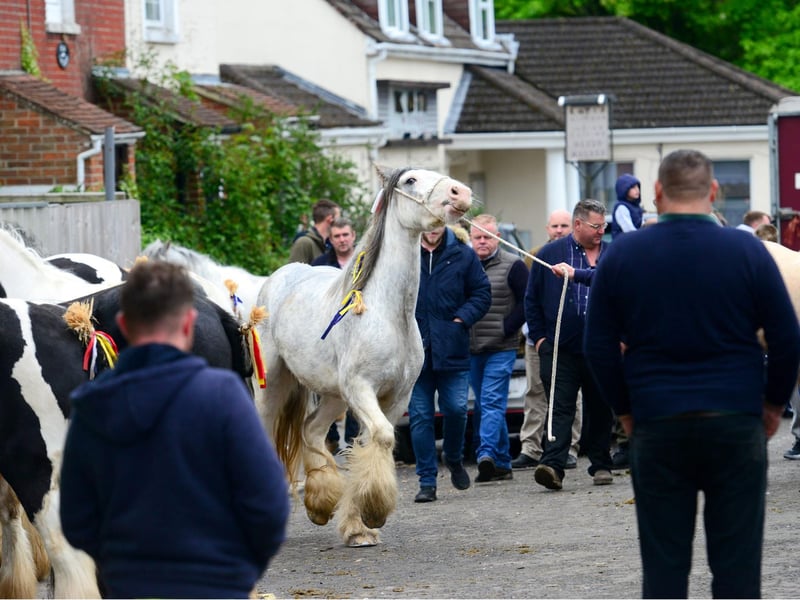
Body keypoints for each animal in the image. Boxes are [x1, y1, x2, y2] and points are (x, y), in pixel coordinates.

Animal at [254, 166, 473, 547]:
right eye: (410, 180)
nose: (460, 194)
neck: (387, 313)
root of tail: (278, 277)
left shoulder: (397, 396)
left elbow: (372, 442)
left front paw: (359, 527)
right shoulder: (361, 389)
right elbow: (382, 436)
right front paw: (372, 512)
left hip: (332, 395)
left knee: (312, 431)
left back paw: (320, 504)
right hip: (275, 385)